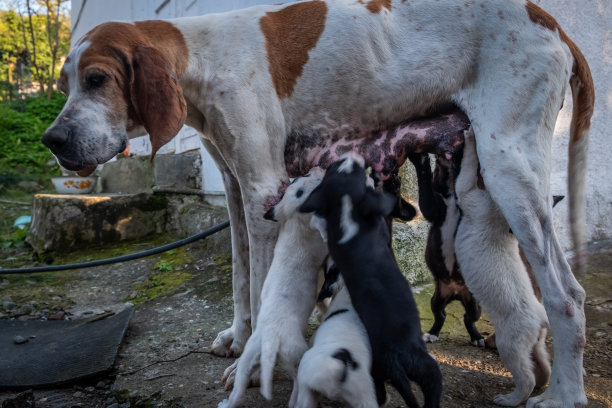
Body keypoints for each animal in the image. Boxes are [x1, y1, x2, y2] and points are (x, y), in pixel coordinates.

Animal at [218, 167, 328, 406]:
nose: (317, 168)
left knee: (239, 386)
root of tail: (265, 339)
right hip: (296, 354)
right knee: (299, 380)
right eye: (307, 180)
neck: (297, 224)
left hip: (249, 360)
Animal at [454, 129, 548, 406]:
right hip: (535, 337)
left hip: (512, 335)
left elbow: (464, 183)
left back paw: (509, 398)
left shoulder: (477, 206)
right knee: (539, 358)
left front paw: (470, 141)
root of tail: (541, 317)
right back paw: (541, 383)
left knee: (521, 367)